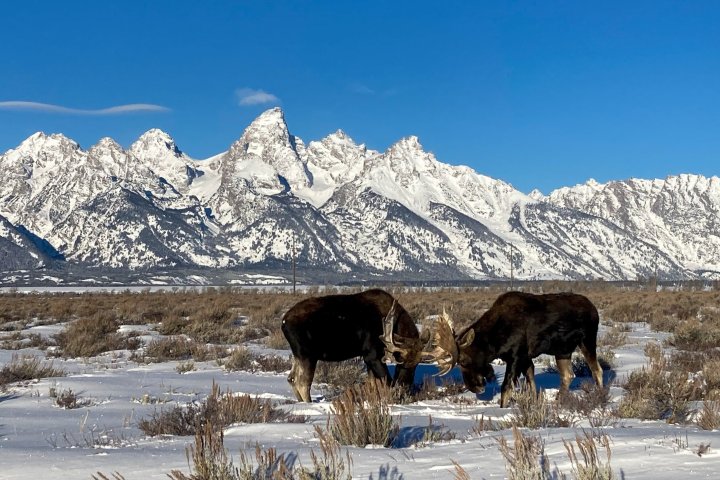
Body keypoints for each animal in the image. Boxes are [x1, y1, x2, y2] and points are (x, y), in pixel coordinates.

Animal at [281, 288, 424, 402]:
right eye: (401, 362)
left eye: (417, 364)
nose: (405, 387)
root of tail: (284, 322)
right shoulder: (372, 355)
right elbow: (386, 382)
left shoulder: (369, 358)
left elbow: (373, 383)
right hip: (308, 355)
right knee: (302, 382)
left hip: (298, 355)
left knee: (291, 378)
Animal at [387, 291, 604, 407]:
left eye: (464, 361)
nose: (476, 387)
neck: (495, 340)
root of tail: (595, 309)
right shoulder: (525, 358)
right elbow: (531, 385)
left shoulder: (516, 355)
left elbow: (506, 388)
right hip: (562, 350)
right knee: (567, 375)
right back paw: (560, 400)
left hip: (587, 340)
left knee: (597, 370)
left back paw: (600, 397)